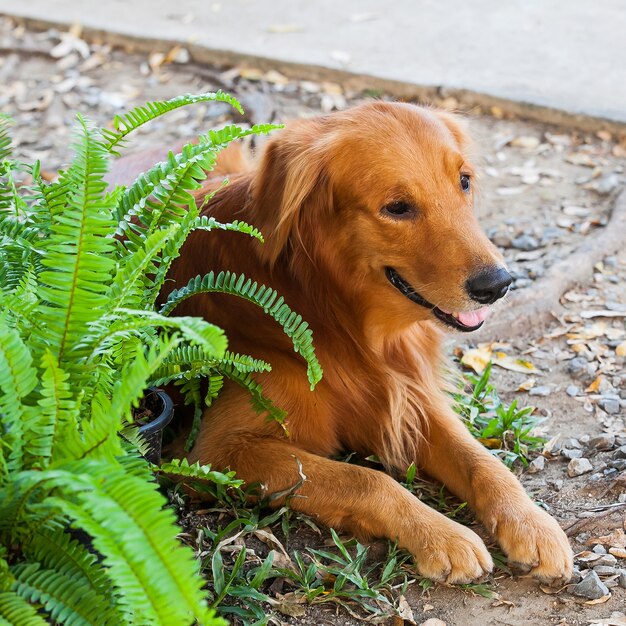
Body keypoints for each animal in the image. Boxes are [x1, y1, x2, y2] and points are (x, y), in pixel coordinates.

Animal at [160, 100, 572, 584]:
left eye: (464, 181)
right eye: (397, 207)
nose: (499, 284)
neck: (339, 317)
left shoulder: (411, 397)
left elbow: (483, 461)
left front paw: (531, 522)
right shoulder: (216, 450)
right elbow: (366, 479)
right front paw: (441, 536)